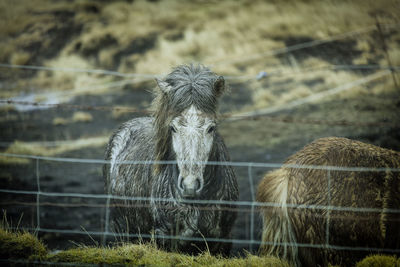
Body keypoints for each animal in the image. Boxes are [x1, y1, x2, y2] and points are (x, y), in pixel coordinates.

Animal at [104, 63, 239, 254]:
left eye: (211, 128)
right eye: (173, 128)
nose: (190, 186)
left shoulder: (223, 240)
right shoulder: (165, 239)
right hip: (122, 229)